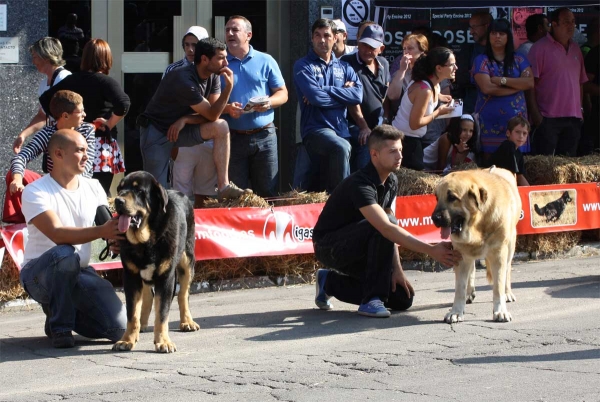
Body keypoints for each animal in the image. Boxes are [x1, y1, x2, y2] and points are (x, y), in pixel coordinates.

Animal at [110, 170, 199, 352]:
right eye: (120, 189)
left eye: (139, 191)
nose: (118, 200)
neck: (146, 241)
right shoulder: (131, 277)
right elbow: (132, 313)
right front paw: (127, 340)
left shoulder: (166, 279)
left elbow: (162, 313)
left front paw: (163, 341)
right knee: (147, 296)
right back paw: (142, 324)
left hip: (187, 262)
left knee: (183, 294)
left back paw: (187, 322)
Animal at [432, 166, 520, 324]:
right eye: (437, 197)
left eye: (452, 197)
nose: (434, 218)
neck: (478, 222)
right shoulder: (460, 255)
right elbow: (459, 288)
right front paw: (456, 311)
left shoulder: (499, 253)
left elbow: (498, 284)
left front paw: (500, 311)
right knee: (471, 269)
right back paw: (469, 293)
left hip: (510, 245)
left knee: (507, 270)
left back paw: (508, 293)